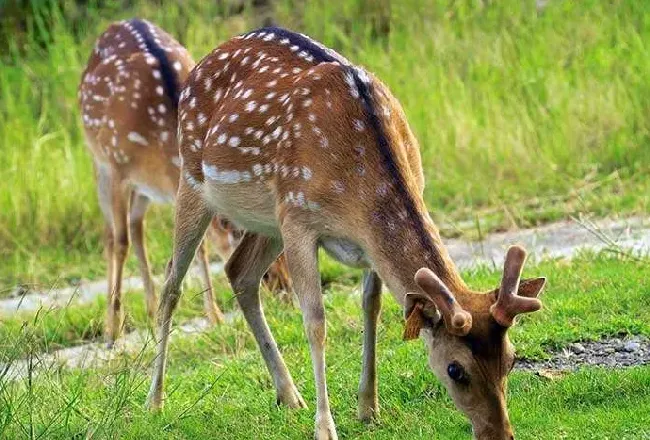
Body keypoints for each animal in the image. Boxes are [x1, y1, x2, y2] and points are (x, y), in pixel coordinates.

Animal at [76, 18, 288, 348]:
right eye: (237, 230)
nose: (283, 288)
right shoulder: (116, 166)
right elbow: (120, 242)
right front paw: (112, 331)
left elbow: (198, 246)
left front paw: (214, 316)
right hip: (99, 161)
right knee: (112, 235)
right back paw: (116, 322)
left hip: (142, 189)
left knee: (137, 226)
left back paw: (151, 310)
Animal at [144, 27, 544, 440]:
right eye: (455, 369)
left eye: (511, 358)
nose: (500, 433)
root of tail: (199, 64)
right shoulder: (299, 219)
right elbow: (315, 321)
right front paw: (326, 428)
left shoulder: (364, 239)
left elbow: (372, 305)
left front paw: (368, 407)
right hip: (194, 181)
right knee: (172, 284)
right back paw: (155, 402)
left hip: (268, 218)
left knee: (239, 271)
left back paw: (289, 395)